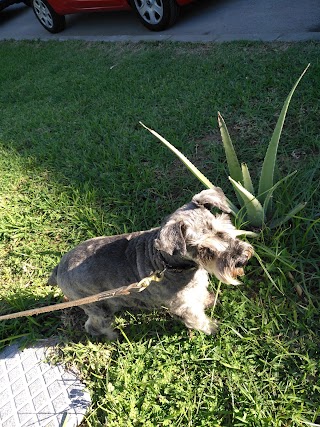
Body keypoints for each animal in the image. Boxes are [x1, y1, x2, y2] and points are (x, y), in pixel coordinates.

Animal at [49, 190, 252, 342]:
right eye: (204, 250)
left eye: (223, 230)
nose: (241, 259)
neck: (169, 264)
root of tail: (58, 268)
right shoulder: (184, 306)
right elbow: (197, 319)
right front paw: (213, 328)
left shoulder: (194, 289)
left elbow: (200, 296)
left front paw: (208, 301)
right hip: (98, 308)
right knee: (93, 326)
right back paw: (113, 336)